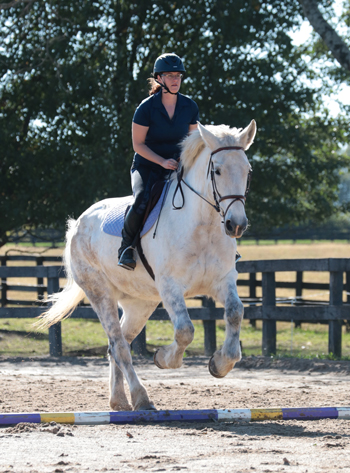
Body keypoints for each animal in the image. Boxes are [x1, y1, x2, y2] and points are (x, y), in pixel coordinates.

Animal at [39, 120, 258, 412]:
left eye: (247, 171)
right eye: (218, 170)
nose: (236, 225)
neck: (203, 225)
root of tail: (78, 223)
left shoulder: (222, 281)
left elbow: (235, 312)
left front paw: (220, 363)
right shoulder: (170, 287)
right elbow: (185, 331)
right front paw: (164, 358)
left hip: (140, 304)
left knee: (117, 344)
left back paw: (119, 400)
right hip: (100, 294)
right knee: (119, 345)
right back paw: (141, 397)